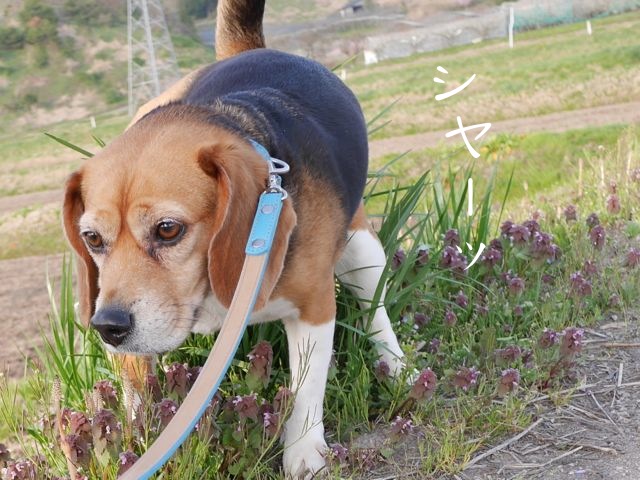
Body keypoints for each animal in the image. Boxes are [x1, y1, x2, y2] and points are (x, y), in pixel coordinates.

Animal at [61, 0, 404, 476]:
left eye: (168, 229)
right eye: (92, 238)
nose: (108, 327)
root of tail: (251, 49)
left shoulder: (314, 305)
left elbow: (306, 388)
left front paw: (303, 452)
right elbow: (136, 390)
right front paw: (137, 441)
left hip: (361, 247)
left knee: (375, 309)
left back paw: (398, 368)